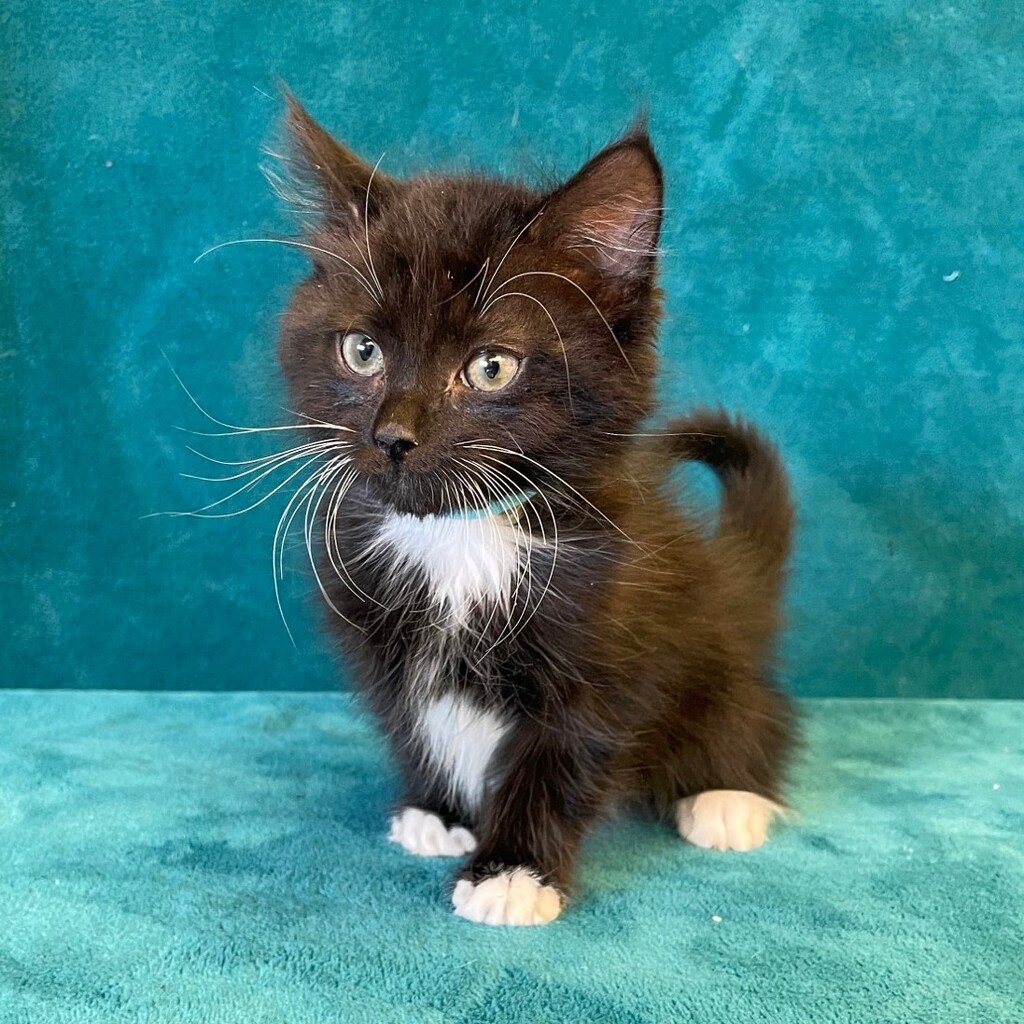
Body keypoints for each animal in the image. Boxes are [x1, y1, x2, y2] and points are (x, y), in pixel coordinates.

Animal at [272, 93, 797, 926]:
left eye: (491, 367)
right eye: (362, 351)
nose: (393, 435)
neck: (463, 535)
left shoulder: (608, 641)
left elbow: (561, 753)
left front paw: (512, 871)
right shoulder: (380, 632)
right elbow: (418, 721)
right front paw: (440, 813)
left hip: (715, 658)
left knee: (756, 717)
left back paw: (726, 797)